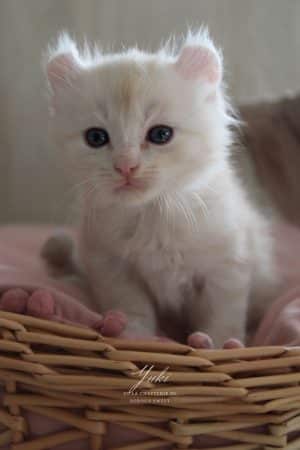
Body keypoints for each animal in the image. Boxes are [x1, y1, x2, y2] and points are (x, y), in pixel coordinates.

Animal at [44, 30, 278, 348]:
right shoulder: (112, 267)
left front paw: (218, 345)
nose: (126, 166)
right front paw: (132, 336)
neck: (153, 215)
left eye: (161, 134)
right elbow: (132, 308)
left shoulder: (226, 268)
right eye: (96, 138)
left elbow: (221, 319)